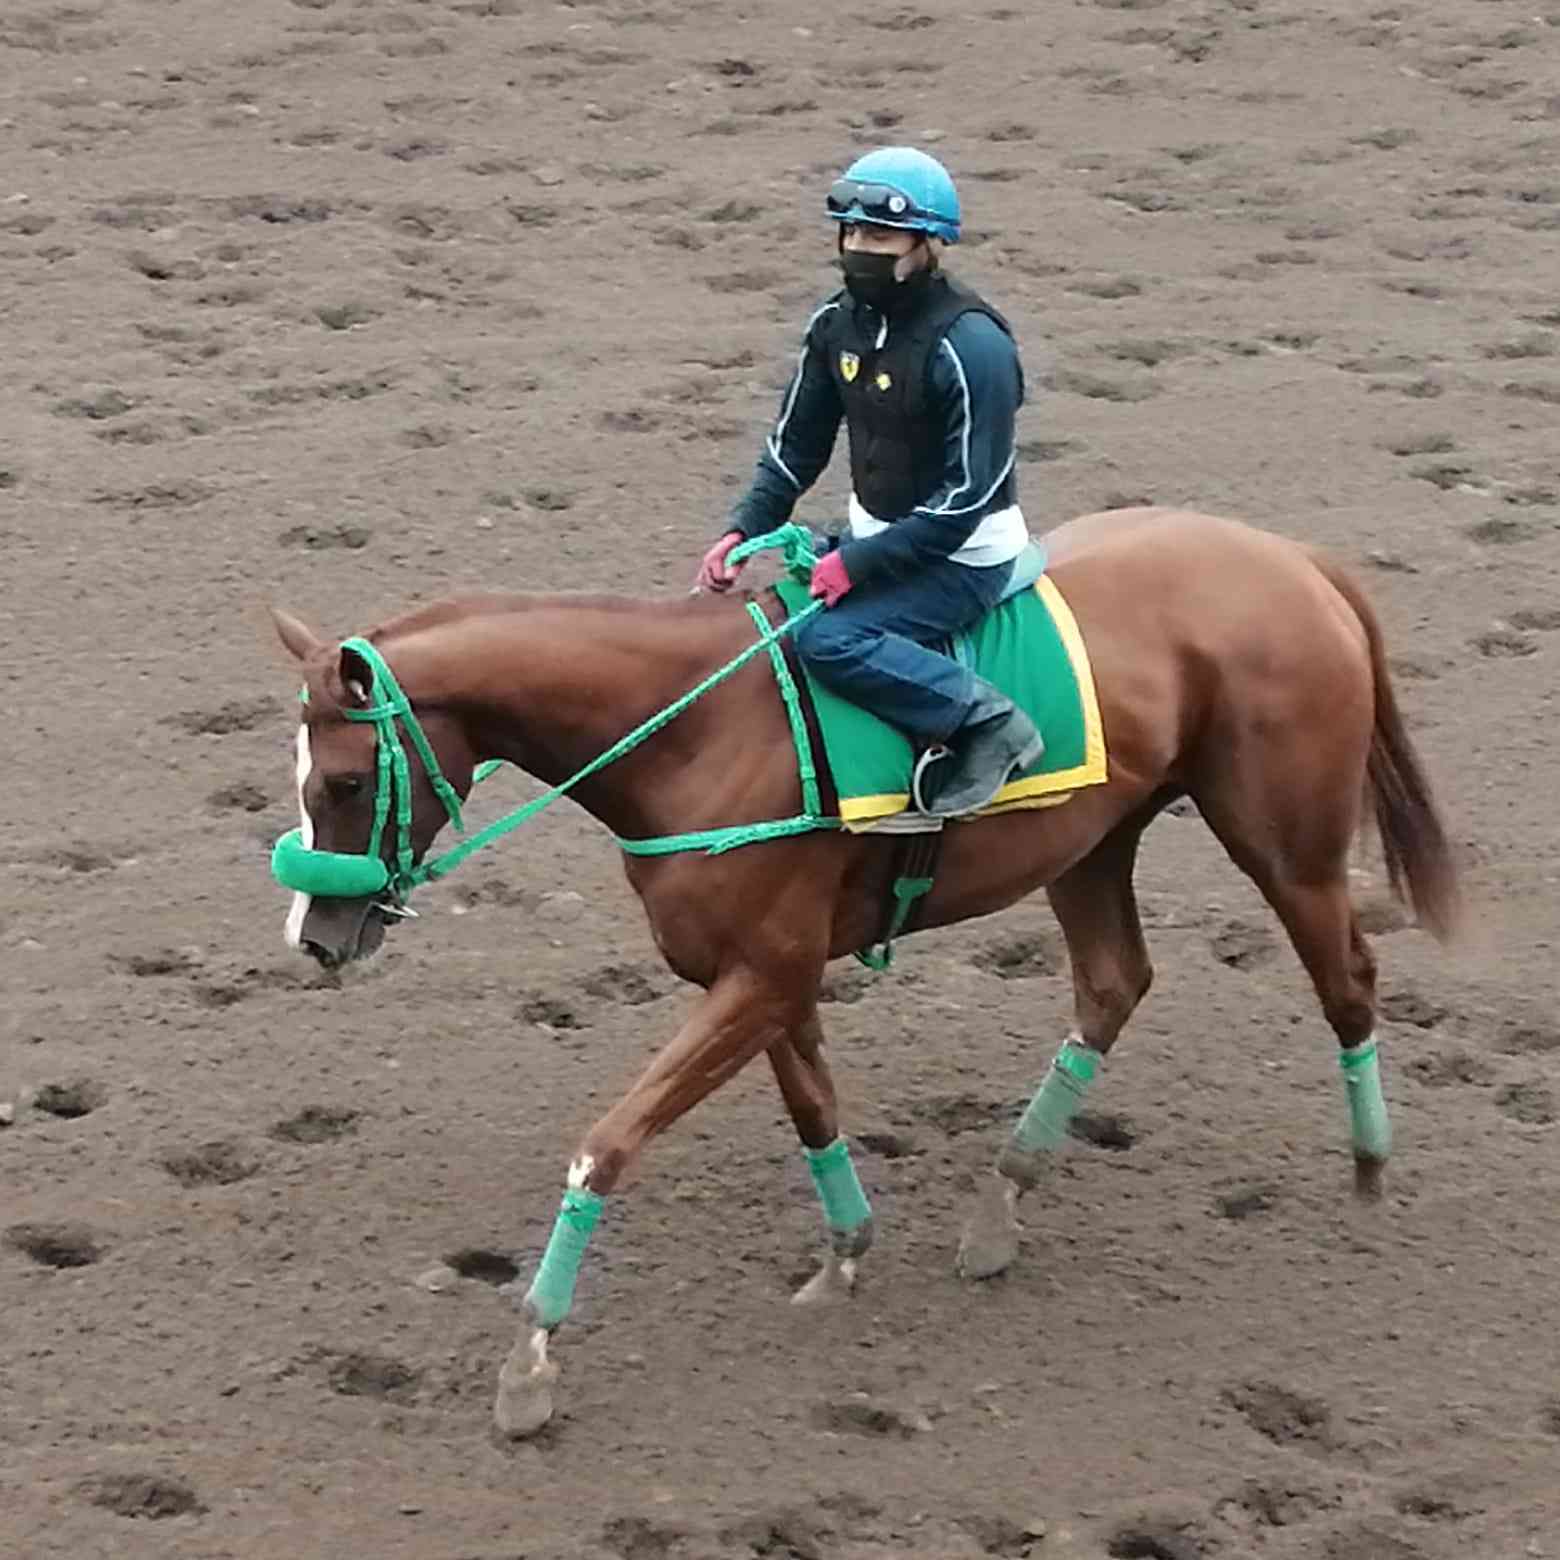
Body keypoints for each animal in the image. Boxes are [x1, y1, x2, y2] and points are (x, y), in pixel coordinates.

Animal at [268, 506, 1460, 1439]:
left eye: (342, 779)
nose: (320, 939)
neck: (696, 729)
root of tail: (1293, 557)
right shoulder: (767, 977)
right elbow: (813, 1111)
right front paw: (843, 1258)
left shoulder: (763, 977)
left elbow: (605, 1147)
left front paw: (529, 1366)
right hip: (1092, 842)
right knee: (1115, 983)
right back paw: (999, 1209)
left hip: (1286, 845)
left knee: (1348, 979)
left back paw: (1369, 1177)